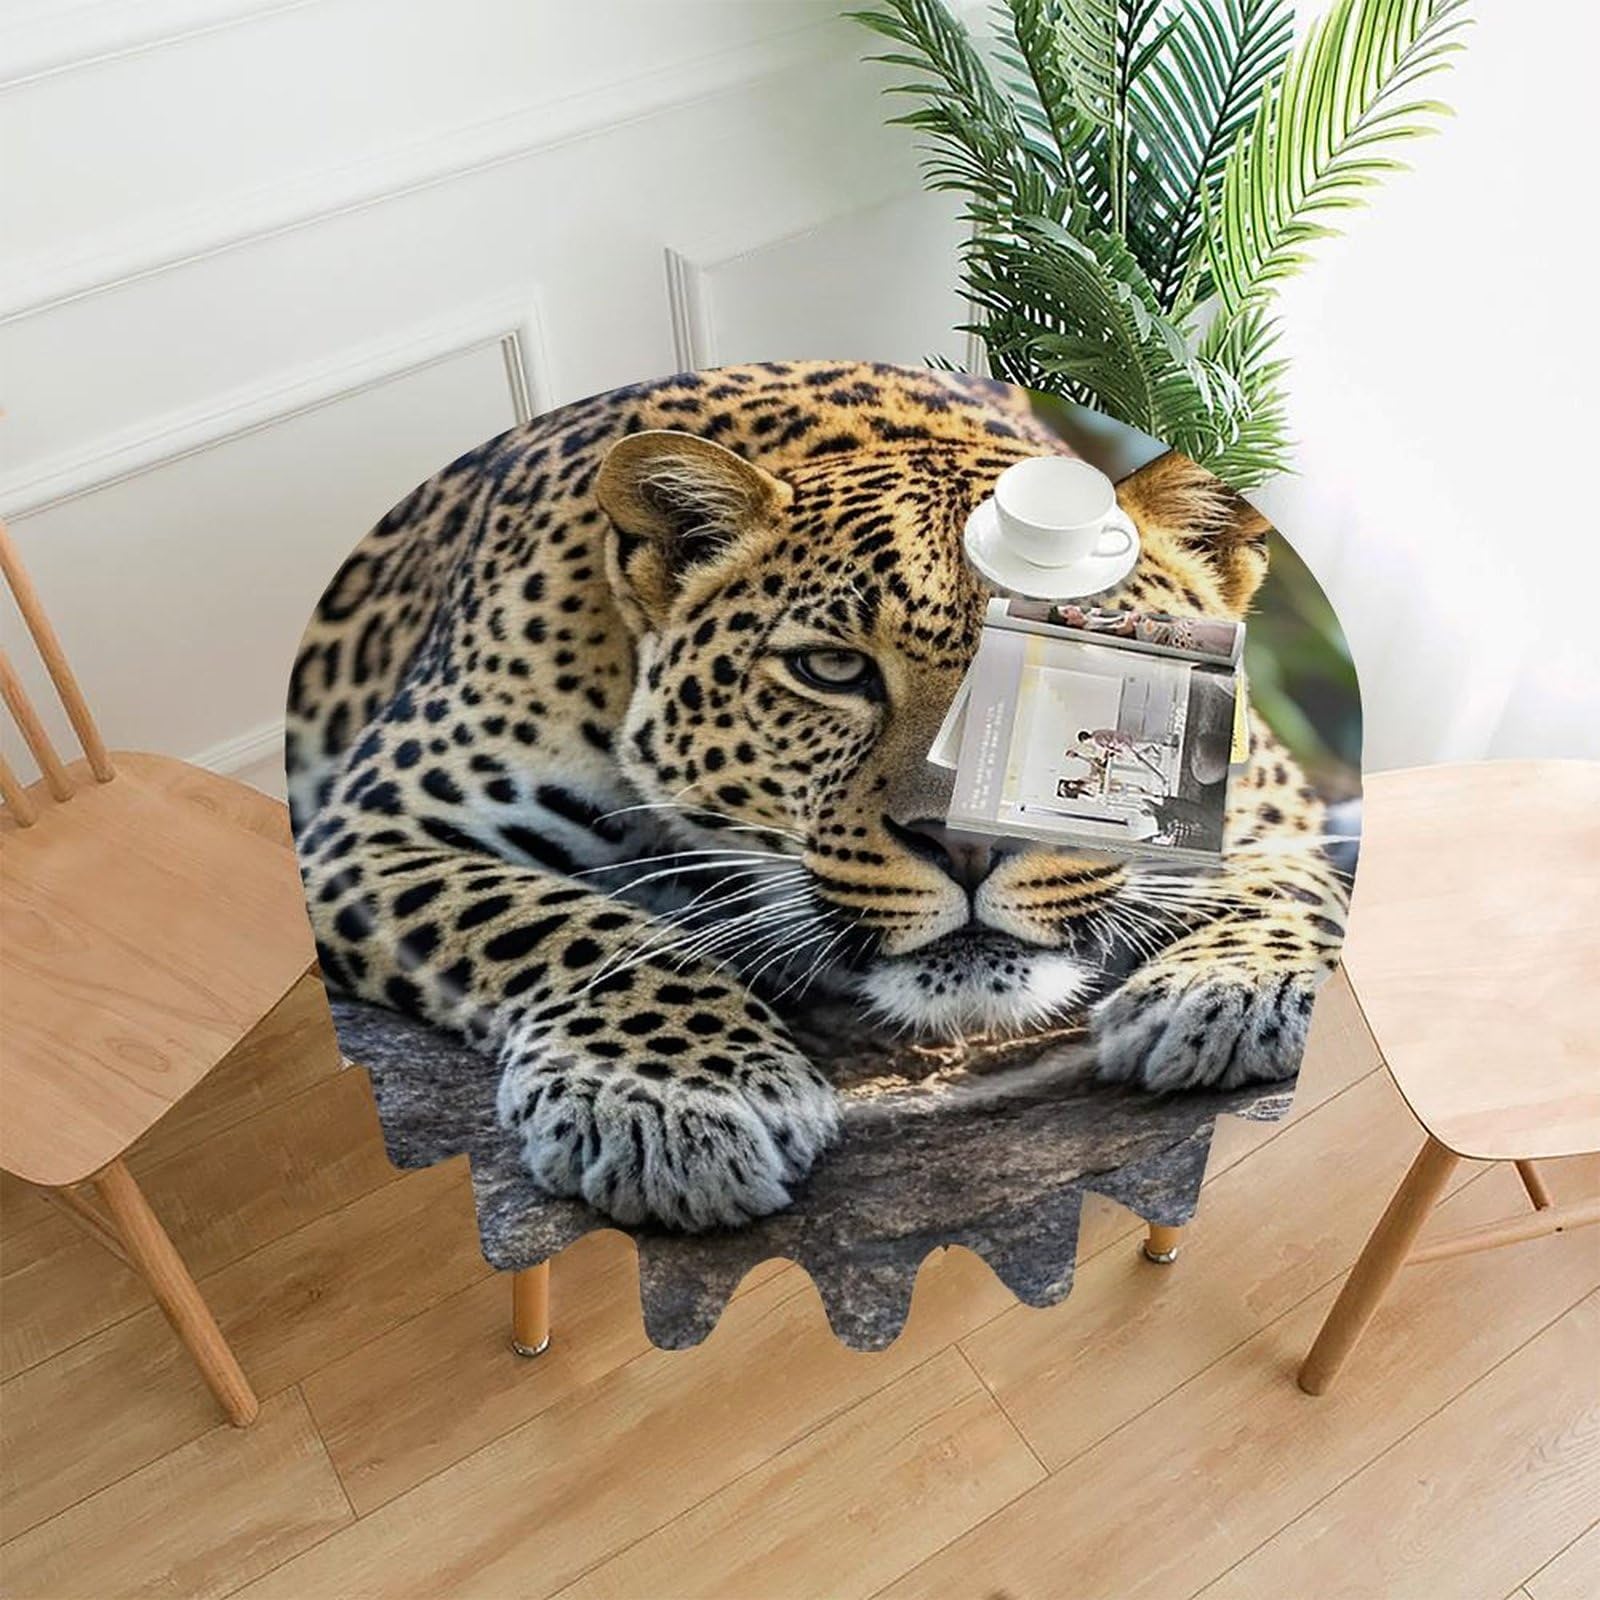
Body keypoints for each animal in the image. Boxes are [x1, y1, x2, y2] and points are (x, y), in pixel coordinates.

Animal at [287, 360, 1351, 1232]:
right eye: (833, 669)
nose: (967, 845)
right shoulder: (374, 826)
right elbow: (570, 925)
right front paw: (673, 1090)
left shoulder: (1266, 784)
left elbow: (1299, 879)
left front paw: (1239, 987)